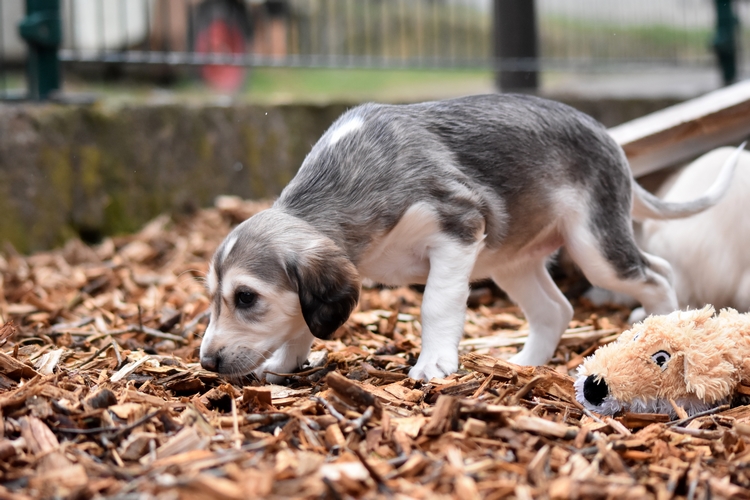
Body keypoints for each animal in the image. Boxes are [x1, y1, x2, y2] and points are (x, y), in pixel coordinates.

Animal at [201, 94, 748, 380]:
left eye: (246, 297)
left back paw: (658, 335)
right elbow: (301, 321)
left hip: (596, 249)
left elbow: (435, 305)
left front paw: (433, 364)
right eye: (215, 298)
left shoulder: (458, 229)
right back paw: (524, 366)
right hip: (510, 263)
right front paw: (285, 362)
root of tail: (609, 138)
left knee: (658, 275)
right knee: (557, 310)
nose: (206, 362)